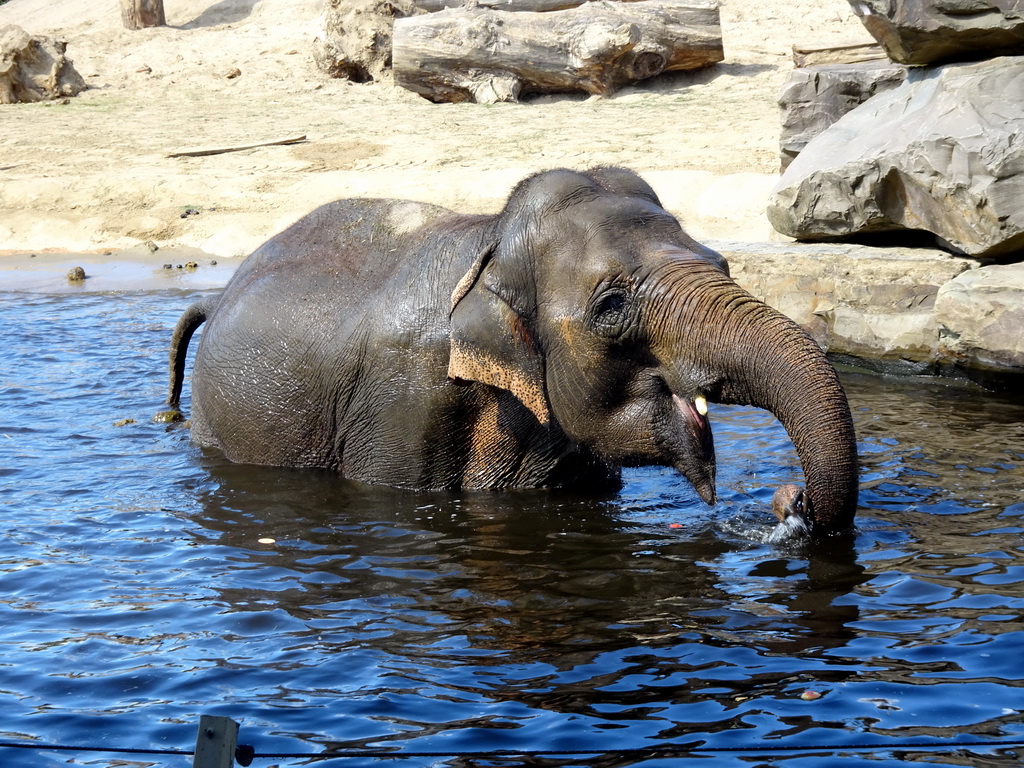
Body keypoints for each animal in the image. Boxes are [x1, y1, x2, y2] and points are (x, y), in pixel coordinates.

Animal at [167, 167, 856, 536]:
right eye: (611, 305)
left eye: (723, 264)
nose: (790, 500)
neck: (490, 242)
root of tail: (220, 292)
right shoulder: (400, 407)